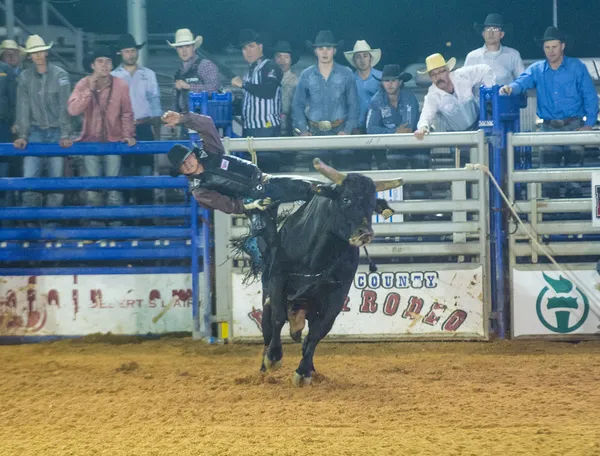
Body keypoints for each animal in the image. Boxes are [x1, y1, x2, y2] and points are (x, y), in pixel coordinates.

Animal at [258, 159, 404, 386]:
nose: (365, 233)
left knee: (308, 338)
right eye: (346, 198)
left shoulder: (338, 294)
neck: (318, 254)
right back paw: (263, 370)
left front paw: (303, 372)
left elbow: (317, 333)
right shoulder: (277, 277)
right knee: (268, 328)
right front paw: (273, 357)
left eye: (373, 205)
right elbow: (278, 317)